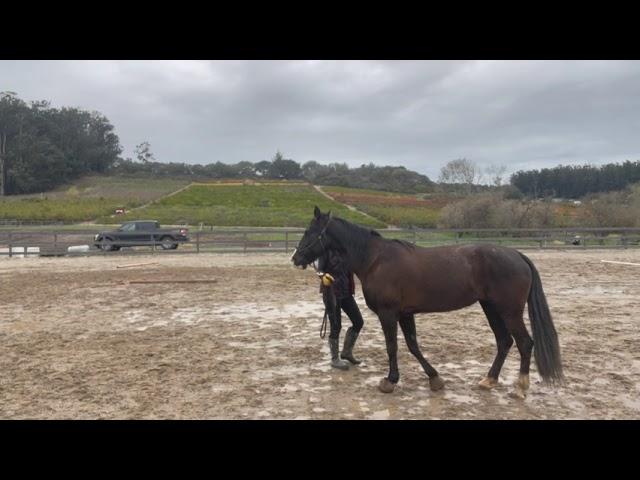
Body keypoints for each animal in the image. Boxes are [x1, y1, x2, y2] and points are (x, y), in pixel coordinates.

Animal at [292, 206, 564, 398]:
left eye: (309, 232)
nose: (295, 258)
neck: (375, 260)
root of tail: (516, 254)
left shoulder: (389, 313)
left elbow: (393, 346)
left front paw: (390, 381)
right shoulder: (405, 313)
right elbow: (413, 345)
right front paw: (434, 378)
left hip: (510, 311)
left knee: (524, 343)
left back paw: (520, 388)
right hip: (491, 308)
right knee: (504, 342)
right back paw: (489, 380)